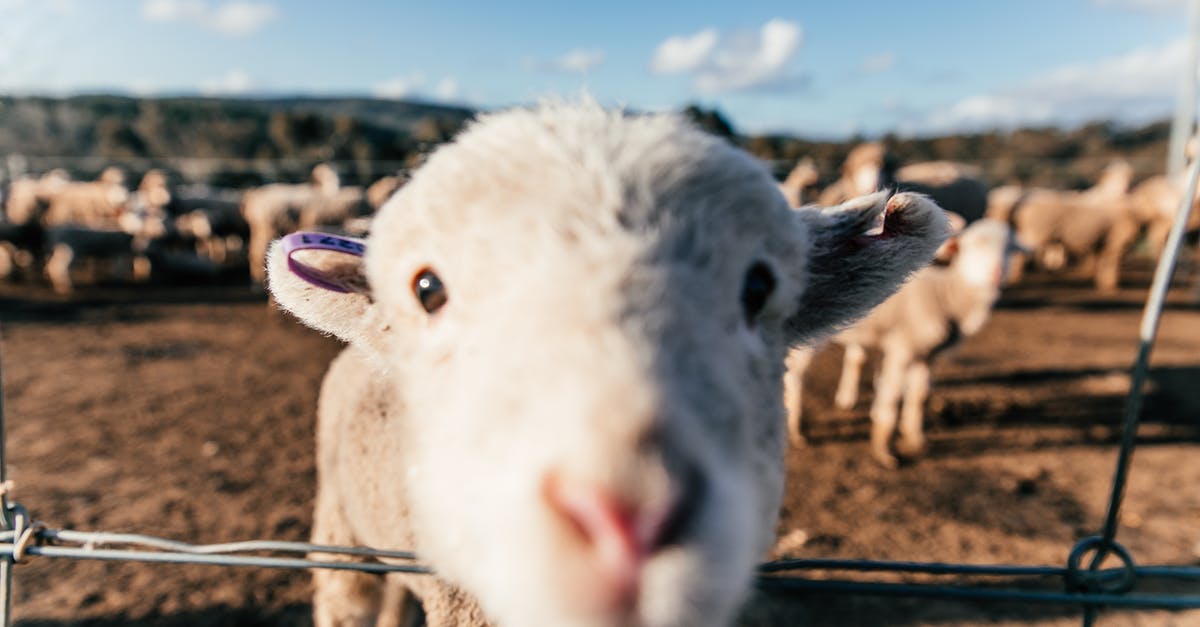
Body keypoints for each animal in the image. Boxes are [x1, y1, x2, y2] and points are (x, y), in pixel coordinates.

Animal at [783, 218, 1022, 468]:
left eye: (1010, 248)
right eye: (973, 246)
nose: (997, 273)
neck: (945, 295)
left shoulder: (927, 354)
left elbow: (920, 396)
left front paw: (916, 439)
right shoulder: (902, 346)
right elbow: (891, 399)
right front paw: (884, 452)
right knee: (795, 376)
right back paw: (796, 430)